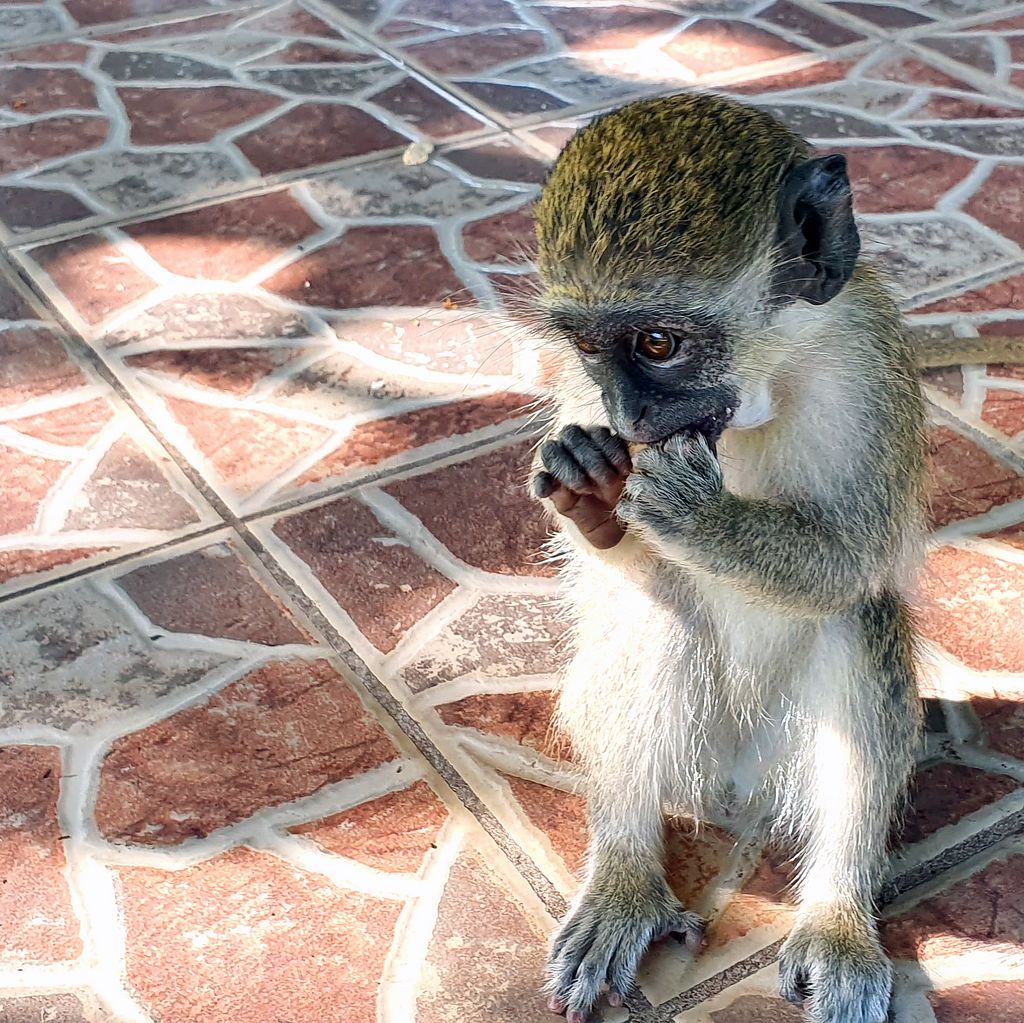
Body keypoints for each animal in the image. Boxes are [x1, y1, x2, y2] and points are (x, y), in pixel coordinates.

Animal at [524, 88, 1019, 1023]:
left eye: (658, 344)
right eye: (592, 349)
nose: (629, 420)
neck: (770, 379)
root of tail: (736, 790)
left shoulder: (870, 364)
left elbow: (852, 563)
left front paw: (703, 516)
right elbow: (618, 566)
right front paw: (587, 487)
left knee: (860, 621)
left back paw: (835, 915)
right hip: (699, 750)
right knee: (654, 612)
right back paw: (626, 874)